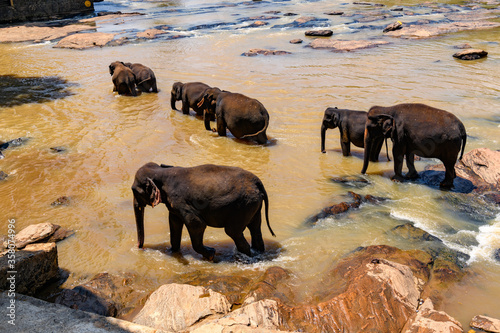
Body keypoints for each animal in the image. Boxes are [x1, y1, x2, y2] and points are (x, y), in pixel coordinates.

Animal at [131, 161, 276, 260]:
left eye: (134, 191)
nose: (140, 248)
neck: (161, 172)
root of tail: (258, 183)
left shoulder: (181, 202)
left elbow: (196, 224)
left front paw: (211, 254)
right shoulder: (174, 206)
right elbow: (174, 223)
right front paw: (173, 251)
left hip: (243, 206)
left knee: (233, 231)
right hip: (253, 205)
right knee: (255, 228)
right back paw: (257, 253)